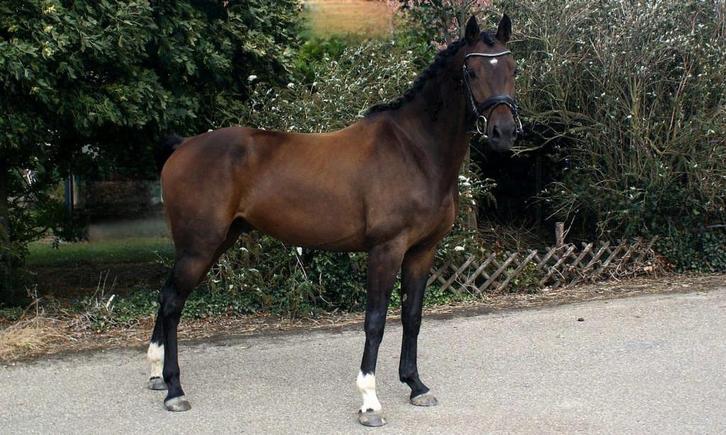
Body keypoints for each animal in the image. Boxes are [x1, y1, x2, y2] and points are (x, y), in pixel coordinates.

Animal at [146, 14, 521, 427]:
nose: (504, 132)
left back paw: (158, 377)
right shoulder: (386, 250)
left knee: (168, 297)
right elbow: (375, 321)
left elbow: (412, 316)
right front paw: (370, 402)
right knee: (171, 303)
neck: (415, 150)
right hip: (199, 247)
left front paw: (416, 385)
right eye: (471, 71)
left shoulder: (423, 251)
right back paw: (175, 390)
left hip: (215, 243)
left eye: (513, 68)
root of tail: (183, 147)